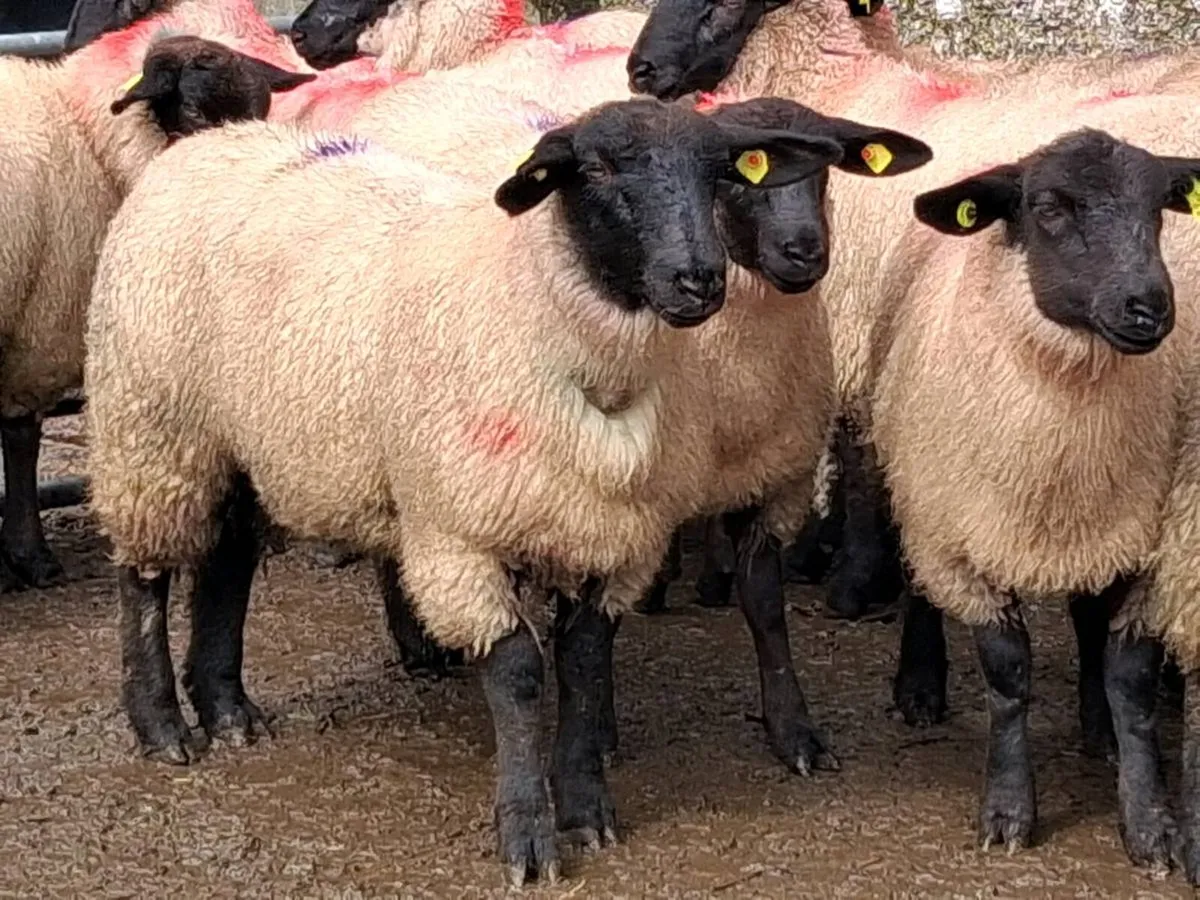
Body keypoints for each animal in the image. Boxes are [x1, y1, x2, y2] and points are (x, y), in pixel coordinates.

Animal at [0, 4, 311, 590]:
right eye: (188, 109)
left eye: (260, 107)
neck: (87, 136)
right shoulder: (33, 331)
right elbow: (22, 440)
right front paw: (30, 557)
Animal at [82, 96, 845, 886]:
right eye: (599, 168)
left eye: (717, 170)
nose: (699, 279)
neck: (536, 306)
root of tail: (204, 144)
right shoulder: (460, 536)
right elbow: (518, 676)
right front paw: (528, 837)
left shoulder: (610, 540)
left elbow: (584, 666)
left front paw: (585, 808)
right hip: (151, 426)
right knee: (145, 577)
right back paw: (163, 725)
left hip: (240, 442)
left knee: (228, 562)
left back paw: (229, 711)